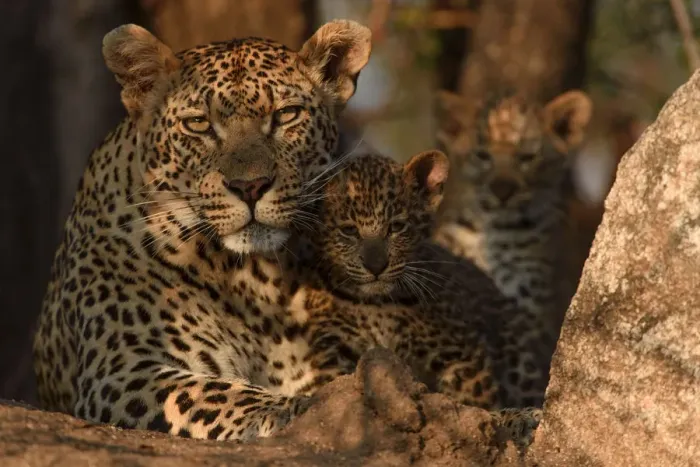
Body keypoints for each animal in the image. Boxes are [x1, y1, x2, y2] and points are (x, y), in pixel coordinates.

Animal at [33, 20, 376, 442]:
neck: (255, 282)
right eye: (198, 124)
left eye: (286, 115)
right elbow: (217, 392)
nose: (251, 186)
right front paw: (291, 410)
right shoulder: (124, 369)